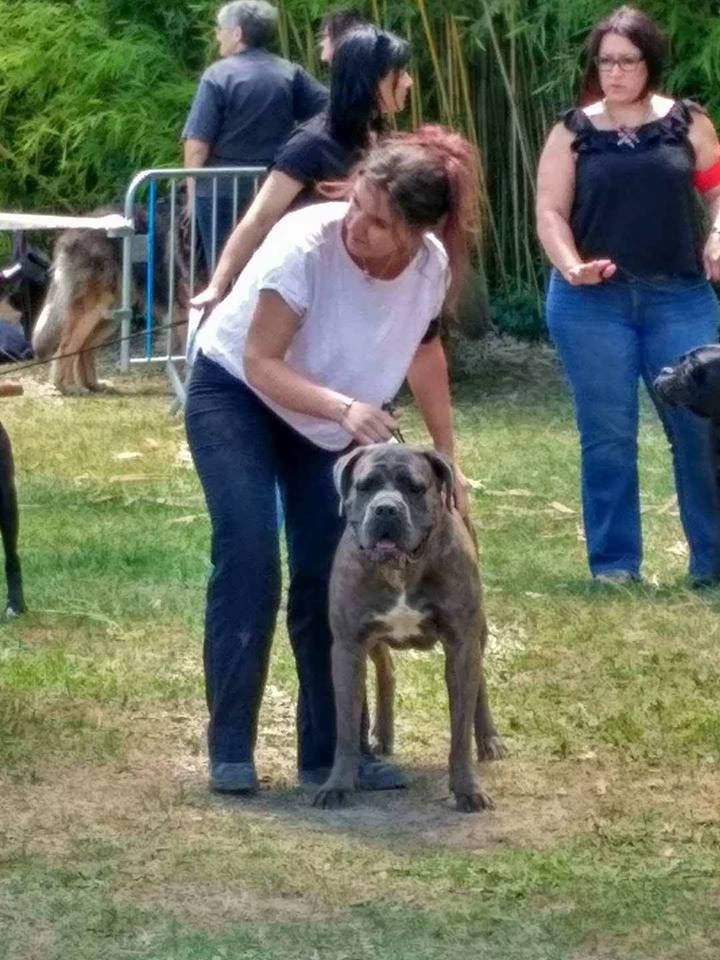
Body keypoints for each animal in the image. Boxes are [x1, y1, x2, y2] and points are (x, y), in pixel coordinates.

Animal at [316, 442, 506, 808]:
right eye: (365, 486)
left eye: (414, 487)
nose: (386, 509)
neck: (401, 570)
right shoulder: (348, 646)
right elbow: (346, 727)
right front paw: (337, 785)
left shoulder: (461, 643)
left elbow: (460, 730)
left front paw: (467, 789)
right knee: (385, 671)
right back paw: (382, 733)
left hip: (479, 630)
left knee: (480, 683)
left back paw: (489, 739)